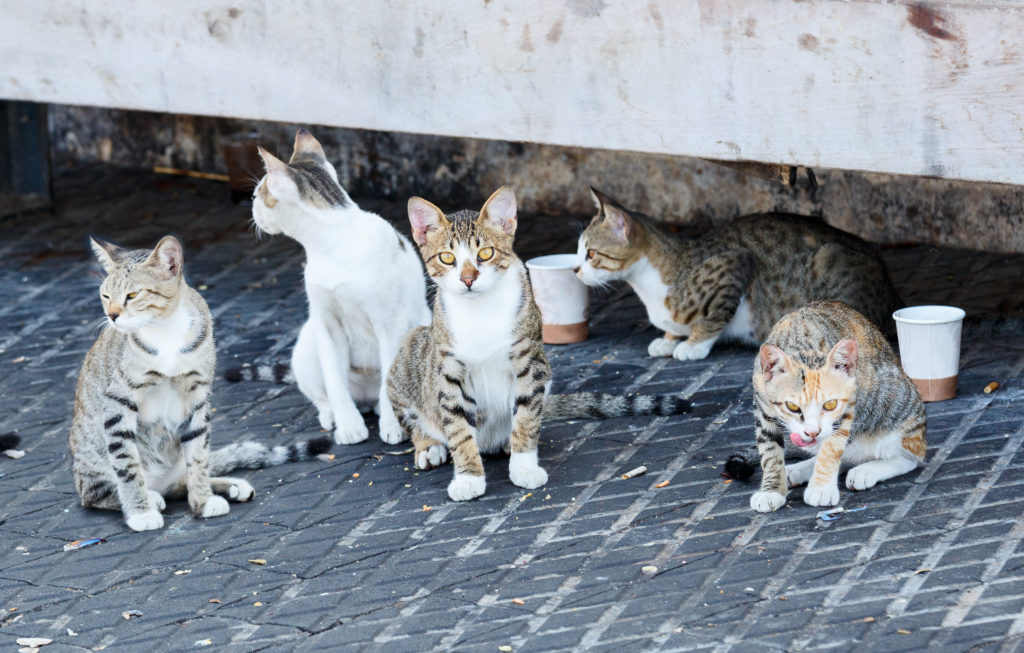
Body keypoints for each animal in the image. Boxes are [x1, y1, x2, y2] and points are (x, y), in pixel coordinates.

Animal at [72, 237, 327, 536]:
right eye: (105, 296)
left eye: (132, 295)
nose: (111, 316)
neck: (165, 332)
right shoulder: (117, 402)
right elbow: (126, 464)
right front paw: (140, 511)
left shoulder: (197, 396)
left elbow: (198, 456)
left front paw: (203, 500)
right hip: (93, 462)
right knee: (97, 493)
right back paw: (150, 498)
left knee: (178, 483)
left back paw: (227, 486)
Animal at [387, 186, 692, 503]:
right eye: (447, 258)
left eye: (485, 253)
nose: (468, 279)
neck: (480, 311)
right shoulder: (449, 370)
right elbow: (458, 427)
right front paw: (468, 476)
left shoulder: (530, 361)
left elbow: (526, 416)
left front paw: (524, 466)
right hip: (408, 353)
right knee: (415, 418)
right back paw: (429, 445)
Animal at [573, 189, 901, 360]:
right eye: (578, 252)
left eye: (591, 254)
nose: (575, 269)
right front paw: (668, 338)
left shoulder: (735, 265)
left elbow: (714, 317)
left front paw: (692, 345)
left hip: (828, 264)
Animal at [720, 300, 929, 511]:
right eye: (792, 407)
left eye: (830, 404)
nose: (812, 431)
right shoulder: (762, 406)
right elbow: (770, 450)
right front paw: (772, 489)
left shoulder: (847, 406)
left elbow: (831, 448)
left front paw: (821, 488)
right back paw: (799, 470)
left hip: (898, 407)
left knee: (910, 456)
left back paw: (867, 470)